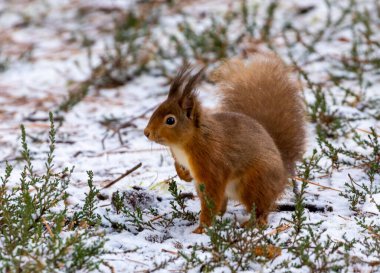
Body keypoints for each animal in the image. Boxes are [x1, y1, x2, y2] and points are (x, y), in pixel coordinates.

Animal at [143, 54, 306, 233]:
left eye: (170, 120)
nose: (146, 132)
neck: (186, 143)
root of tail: (282, 174)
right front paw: (183, 175)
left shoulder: (212, 166)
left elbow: (211, 197)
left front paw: (202, 228)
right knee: (224, 205)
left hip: (253, 184)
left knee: (261, 210)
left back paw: (252, 224)